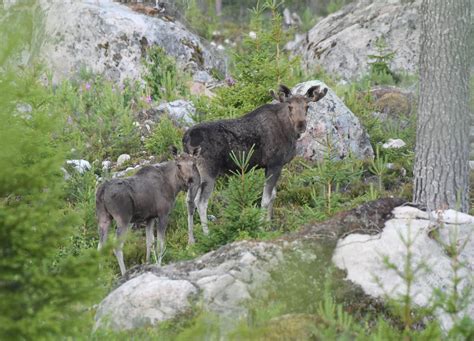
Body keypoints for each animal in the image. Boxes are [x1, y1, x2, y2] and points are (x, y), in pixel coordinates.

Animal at [183, 83, 328, 242]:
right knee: (201, 202)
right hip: (208, 172)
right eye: (290, 106)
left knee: (189, 200)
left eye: (307, 106)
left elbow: (273, 195)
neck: (289, 132)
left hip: (194, 174)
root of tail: (185, 139)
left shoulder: (269, 167)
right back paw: (207, 236)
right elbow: (265, 199)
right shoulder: (275, 164)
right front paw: (260, 227)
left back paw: (191, 240)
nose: (301, 125)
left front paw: (269, 224)